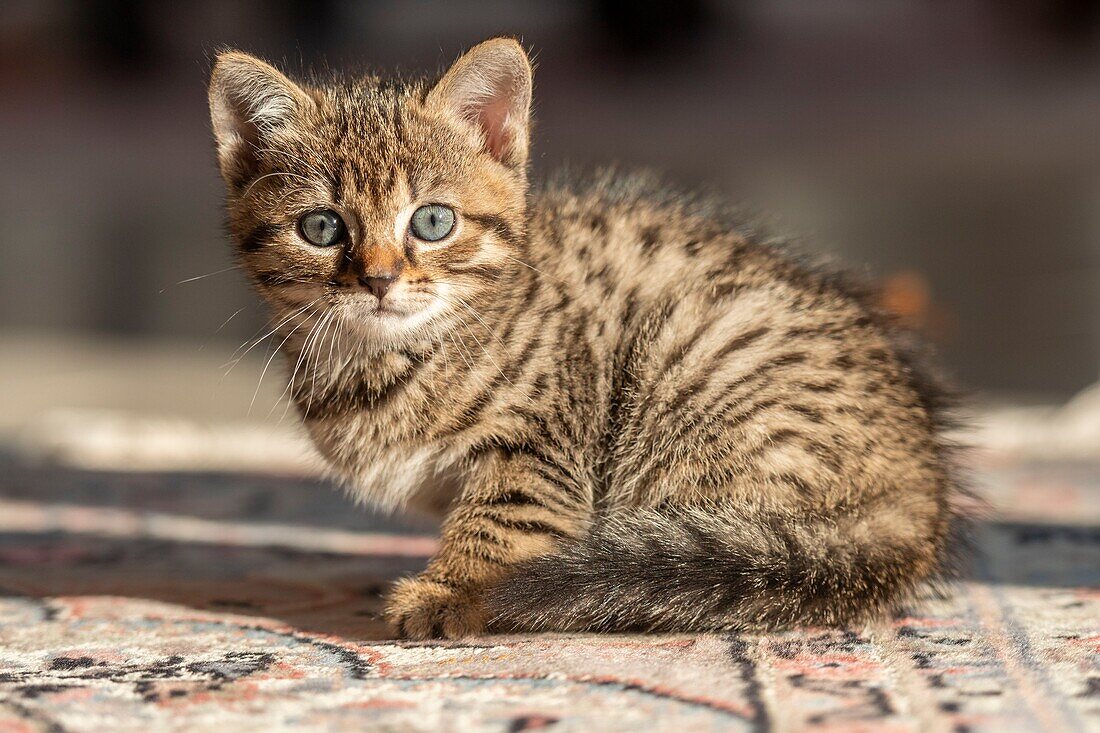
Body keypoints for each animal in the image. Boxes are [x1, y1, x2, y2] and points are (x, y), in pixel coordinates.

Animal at [210, 37, 959, 638]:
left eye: (431, 221)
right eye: (321, 228)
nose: (379, 280)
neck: (381, 359)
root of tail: (918, 502)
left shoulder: (545, 430)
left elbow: (504, 520)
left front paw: (453, 592)